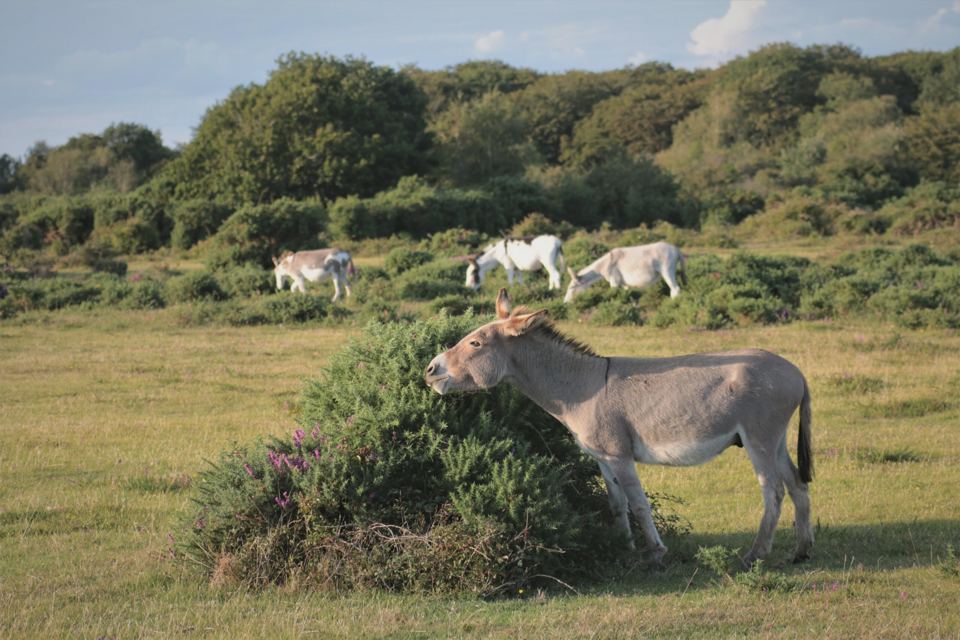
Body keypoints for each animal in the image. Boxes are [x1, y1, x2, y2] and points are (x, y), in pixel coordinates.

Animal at [425, 289, 814, 568]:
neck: (582, 386)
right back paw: (800, 552)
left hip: (759, 437)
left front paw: (655, 554)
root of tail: (796, 371)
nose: (430, 370)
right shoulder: (601, 457)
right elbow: (616, 503)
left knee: (773, 491)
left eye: (475, 343)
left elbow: (639, 503)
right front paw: (623, 548)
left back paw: (754, 555)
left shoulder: (619, 454)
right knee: (797, 484)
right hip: (776, 439)